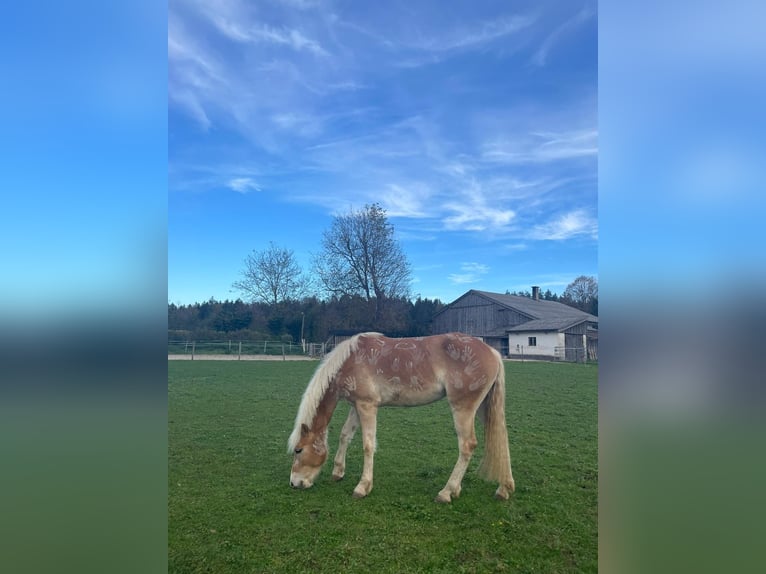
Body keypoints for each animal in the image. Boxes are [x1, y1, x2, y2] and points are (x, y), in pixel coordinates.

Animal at [288, 332, 516, 504]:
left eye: (299, 450)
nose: (294, 483)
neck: (349, 360)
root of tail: (493, 353)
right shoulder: (357, 405)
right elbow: (345, 435)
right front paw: (338, 472)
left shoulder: (367, 406)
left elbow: (368, 445)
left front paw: (363, 487)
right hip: (484, 407)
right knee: (500, 439)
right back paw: (501, 489)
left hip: (463, 409)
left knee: (467, 446)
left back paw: (446, 492)